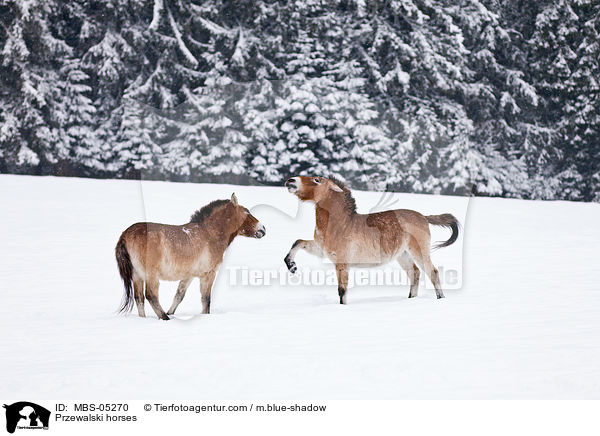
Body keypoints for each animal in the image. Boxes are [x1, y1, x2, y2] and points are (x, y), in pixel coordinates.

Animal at [116, 194, 266, 320]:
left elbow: (179, 295)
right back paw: (165, 318)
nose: (263, 229)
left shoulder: (189, 275)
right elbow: (206, 299)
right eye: (247, 212)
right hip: (151, 275)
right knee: (151, 295)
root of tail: (126, 234)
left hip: (137, 276)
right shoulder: (208, 274)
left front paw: (172, 312)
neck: (209, 234)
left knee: (139, 298)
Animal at [284, 177, 460, 304]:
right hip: (402, 254)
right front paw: (291, 266)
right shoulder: (322, 250)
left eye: (317, 180)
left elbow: (342, 291)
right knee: (414, 273)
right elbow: (298, 242)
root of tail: (423, 217)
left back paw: (440, 298)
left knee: (432, 272)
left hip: (419, 251)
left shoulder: (342, 262)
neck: (341, 223)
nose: (290, 181)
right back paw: (411, 299)